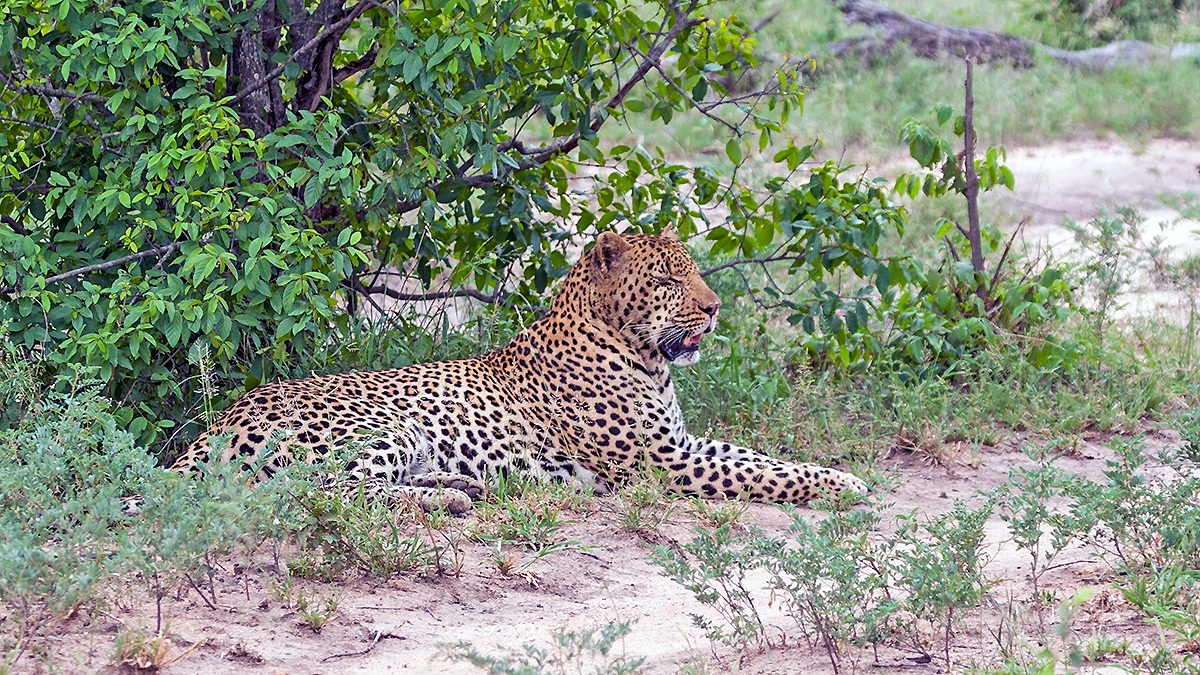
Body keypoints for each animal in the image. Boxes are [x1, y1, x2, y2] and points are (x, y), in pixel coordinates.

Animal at [173, 228, 869, 512]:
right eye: (670, 281)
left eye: (695, 271)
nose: (715, 307)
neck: (644, 357)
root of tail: (211, 429)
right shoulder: (662, 461)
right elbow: (762, 474)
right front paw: (848, 489)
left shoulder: (679, 442)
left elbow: (762, 458)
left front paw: (842, 475)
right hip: (381, 426)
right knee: (321, 491)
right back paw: (450, 499)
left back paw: (459, 487)